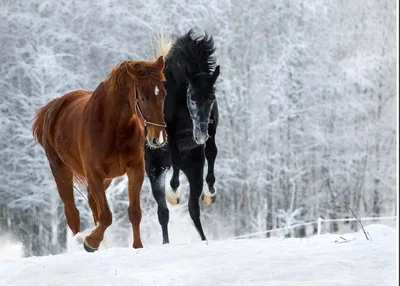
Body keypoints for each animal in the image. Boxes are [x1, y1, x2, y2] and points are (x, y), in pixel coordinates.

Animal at [31, 56, 167, 252]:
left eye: (163, 94)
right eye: (143, 97)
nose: (159, 138)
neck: (114, 127)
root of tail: (53, 107)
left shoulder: (135, 170)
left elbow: (134, 212)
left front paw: (137, 246)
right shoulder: (94, 173)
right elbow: (106, 216)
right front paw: (90, 242)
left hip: (107, 179)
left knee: (91, 201)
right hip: (61, 171)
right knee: (72, 211)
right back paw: (81, 239)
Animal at [145, 29, 220, 244]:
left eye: (211, 97)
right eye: (192, 97)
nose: (200, 137)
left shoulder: (212, 128)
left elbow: (212, 152)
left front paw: (210, 192)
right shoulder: (168, 133)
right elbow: (176, 158)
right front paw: (173, 191)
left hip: (194, 168)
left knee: (193, 209)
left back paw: (203, 239)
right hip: (155, 169)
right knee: (163, 212)